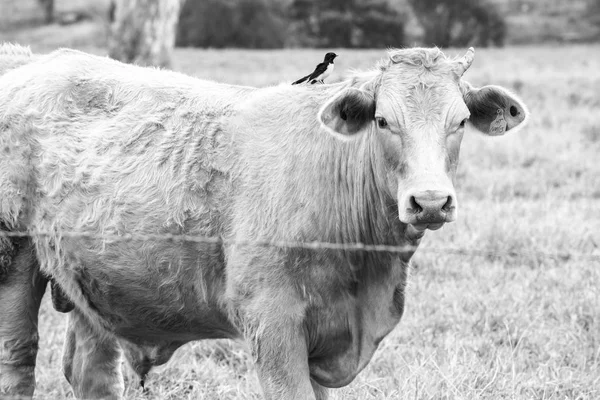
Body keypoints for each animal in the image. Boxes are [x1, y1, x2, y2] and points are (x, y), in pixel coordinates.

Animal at [0, 44, 524, 400]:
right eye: (382, 121)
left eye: (459, 121)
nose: (430, 202)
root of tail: (31, 61)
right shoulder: (273, 326)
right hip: (13, 259)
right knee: (17, 359)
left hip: (95, 280)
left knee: (92, 372)